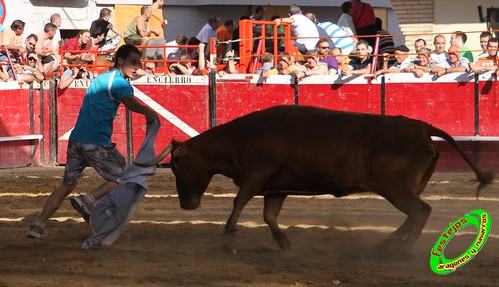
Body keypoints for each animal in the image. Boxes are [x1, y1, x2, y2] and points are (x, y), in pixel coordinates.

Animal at [139, 105, 494, 252]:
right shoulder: (275, 187)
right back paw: (385, 245)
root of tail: (422, 127)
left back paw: (403, 252)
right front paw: (283, 242)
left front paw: (227, 240)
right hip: (406, 188)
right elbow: (268, 215)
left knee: (420, 212)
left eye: (176, 166)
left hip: (396, 188)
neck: (242, 136)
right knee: (415, 214)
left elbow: (238, 204)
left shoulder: (257, 175)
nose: (186, 205)